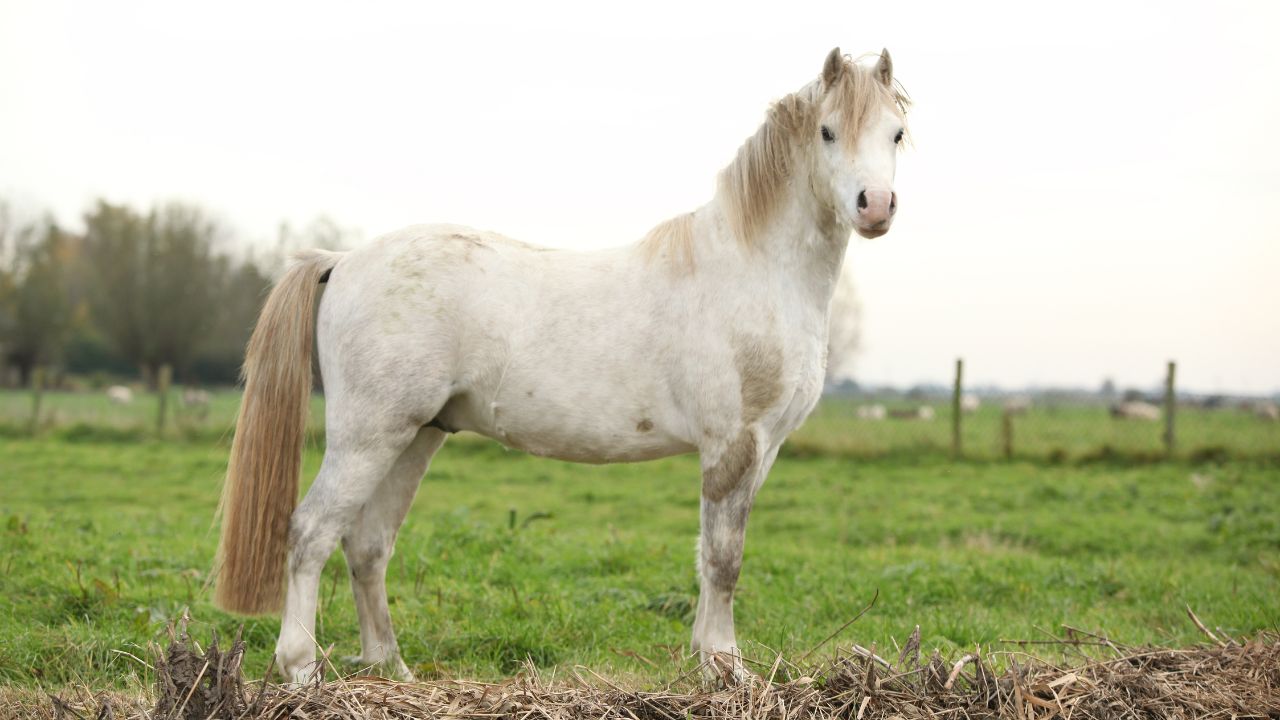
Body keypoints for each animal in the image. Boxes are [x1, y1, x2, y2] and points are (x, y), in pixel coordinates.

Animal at [215, 47, 909, 683]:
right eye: (827, 131)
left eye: (896, 132)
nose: (875, 205)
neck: (754, 268)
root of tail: (343, 260)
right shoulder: (733, 445)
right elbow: (723, 559)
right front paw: (724, 667)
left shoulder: (764, 450)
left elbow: (714, 556)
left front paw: (709, 659)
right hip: (368, 437)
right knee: (310, 533)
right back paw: (302, 670)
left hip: (415, 437)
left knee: (367, 544)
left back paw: (393, 669)